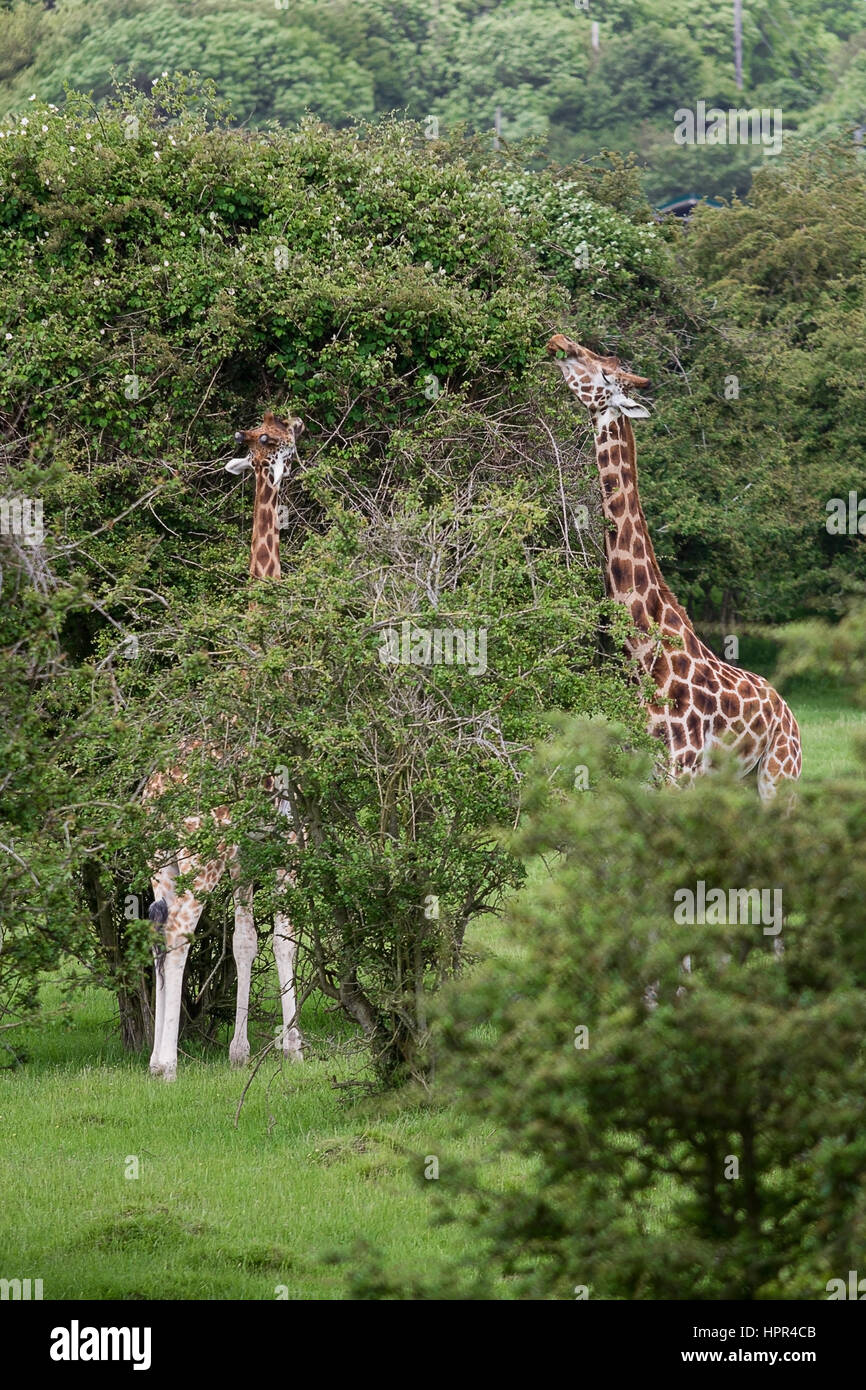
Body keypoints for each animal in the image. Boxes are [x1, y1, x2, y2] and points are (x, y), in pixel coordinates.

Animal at [544, 329, 800, 800]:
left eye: (603, 372)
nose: (559, 340)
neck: (649, 661)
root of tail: (788, 711)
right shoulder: (642, 773)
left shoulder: (680, 773)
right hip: (738, 784)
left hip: (780, 776)